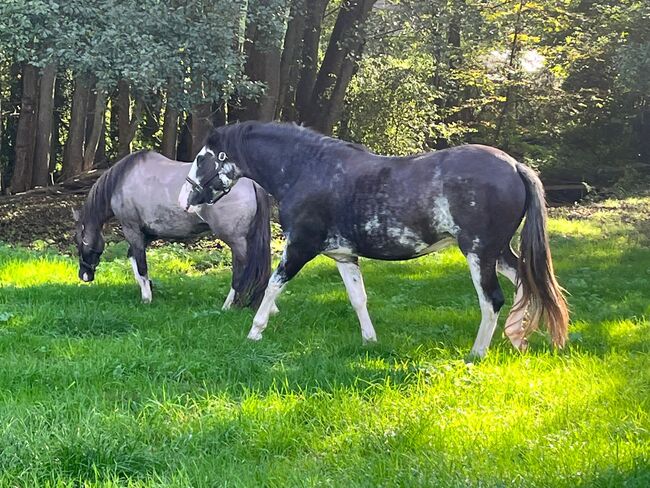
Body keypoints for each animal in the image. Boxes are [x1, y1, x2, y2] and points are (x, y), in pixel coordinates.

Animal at [73, 150, 270, 308]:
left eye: (78, 242)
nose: (84, 275)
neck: (122, 180)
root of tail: (252, 183)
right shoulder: (148, 233)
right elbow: (135, 260)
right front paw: (149, 288)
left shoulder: (132, 230)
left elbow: (141, 265)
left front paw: (147, 298)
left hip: (235, 240)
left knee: (241, 270)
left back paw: (228, 305)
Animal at [177, 123, 568, 358]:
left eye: (201, 159)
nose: (184, 199)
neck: (308, 170)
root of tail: (515, 166)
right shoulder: (343, 256)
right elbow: (358, 298)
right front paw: (370, 340)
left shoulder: (300, 247)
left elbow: (273, 285)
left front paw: (255, 332)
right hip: (498, 251)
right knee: (525, 282)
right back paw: (518, 340)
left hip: (479, 252)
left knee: (492, 300)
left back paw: (476, 354)